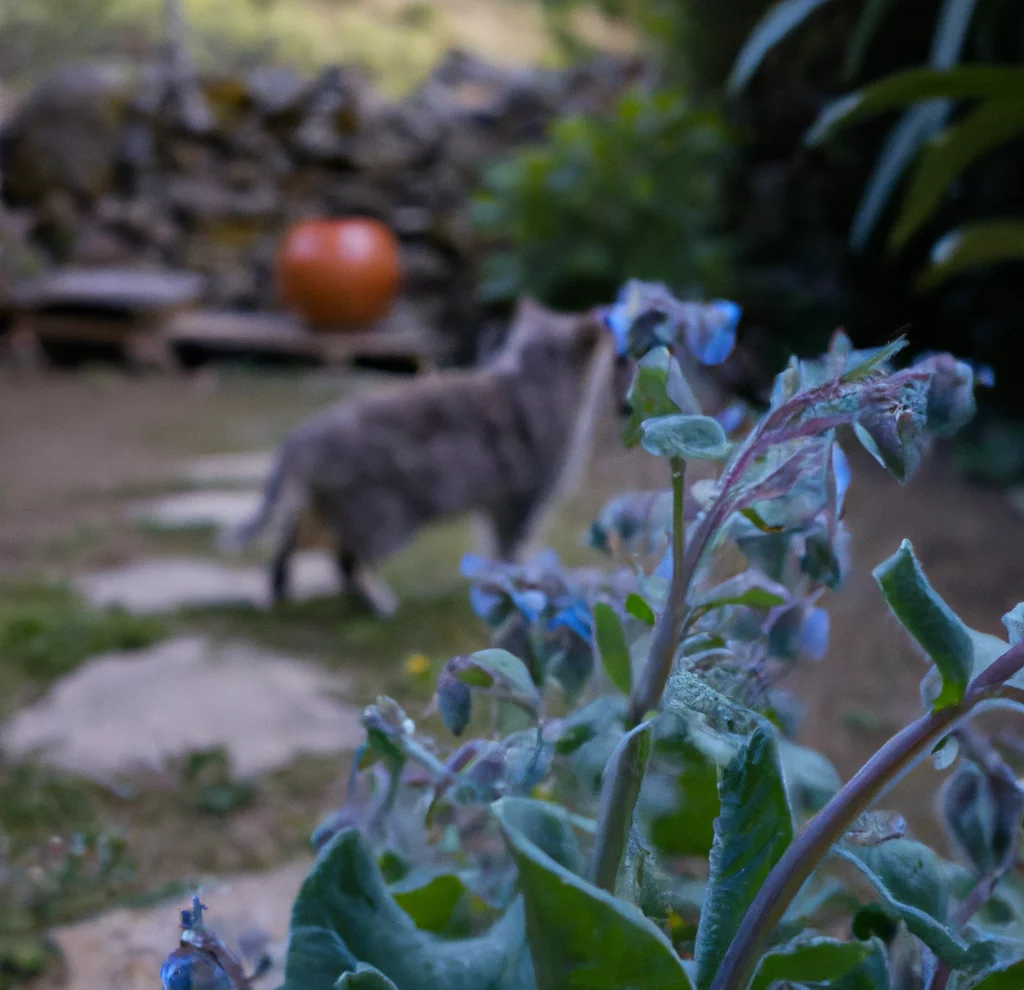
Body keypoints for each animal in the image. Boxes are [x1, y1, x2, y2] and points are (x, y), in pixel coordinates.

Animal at [222, 298, 614, 614]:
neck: (530, 378)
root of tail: (300, 439)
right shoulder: (523, 500)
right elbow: (510, 548)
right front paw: (515, 583)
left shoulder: (495, 504)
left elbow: (492, 547)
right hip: (387, 519)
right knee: (348, 563)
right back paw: (378, 601)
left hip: (328, 512)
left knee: (291, 543)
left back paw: (282, 588)